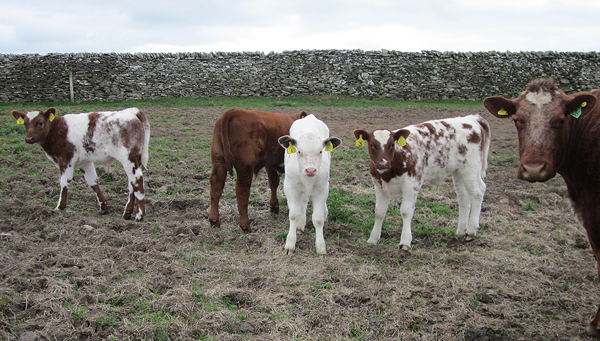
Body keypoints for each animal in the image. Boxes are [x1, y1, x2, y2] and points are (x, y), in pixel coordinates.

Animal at [12, 107, 150, 222]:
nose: (29, 139)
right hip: (132, 160)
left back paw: (140, 215)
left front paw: (59, 207)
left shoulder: (66, 160)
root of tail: (132, 111)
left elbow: (64, 183)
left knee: (137, 181)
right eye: (25, 123)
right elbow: (93, 182)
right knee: (131, 183)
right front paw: (103, 207)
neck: (57, 129)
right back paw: (127, 213)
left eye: (40, 122)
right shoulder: (85, 162)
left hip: (129, 159)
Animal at [278, 114, 340, 252]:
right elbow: (293, 215)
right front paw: (290, 244)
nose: (310, 170)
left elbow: (318, 219)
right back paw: (300, 223)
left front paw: (320, 246)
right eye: (299, 151)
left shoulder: (322, 188)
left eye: (321, 151)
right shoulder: (290, 187)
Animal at [354, 115, 490, 250]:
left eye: (392, 145)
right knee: (463, 198)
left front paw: (405, 242)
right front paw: (373, 238)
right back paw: (461, 231)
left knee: (478, 191)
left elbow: (406, 211)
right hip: (459, 172)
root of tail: (473, 118)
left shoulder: (412, 184)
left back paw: (471, 231)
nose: (383, 163)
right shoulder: (379, 185)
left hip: (471, 169)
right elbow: (379, 212)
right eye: (372, 145)